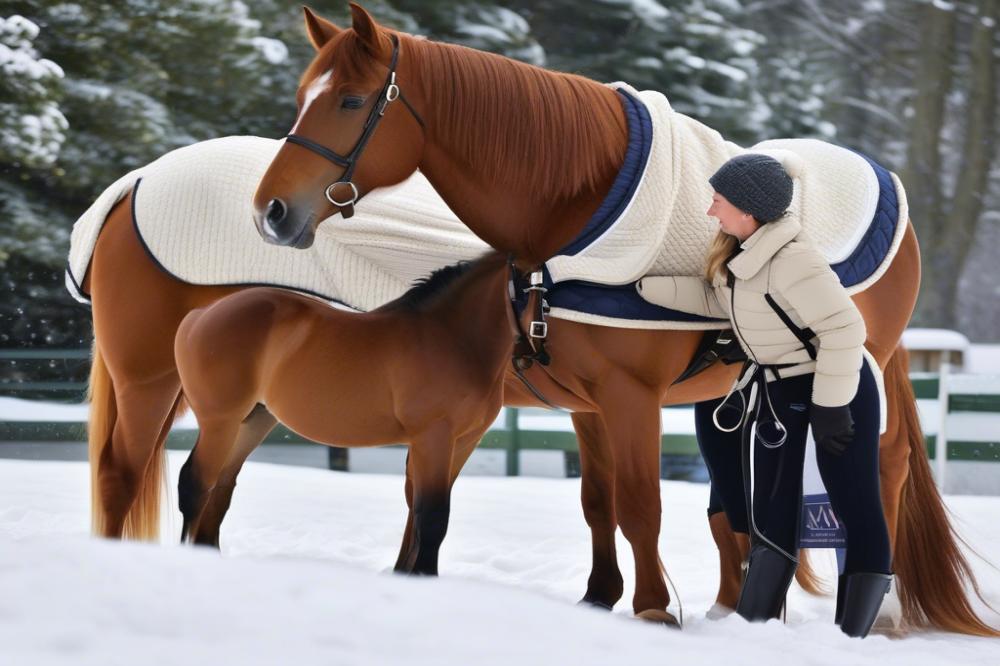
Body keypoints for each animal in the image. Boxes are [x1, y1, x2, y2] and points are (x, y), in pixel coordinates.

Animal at [170, 254, 508, 572]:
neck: (450, 339)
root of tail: (200, 314)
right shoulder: (434, 439)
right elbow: (432, 515)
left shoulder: (462, 443)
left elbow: (421, 510)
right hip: (220, 423)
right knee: (195, 483)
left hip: (252, 422)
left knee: (221, 488)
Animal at [246, 5, 996, 636]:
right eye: (302, 97)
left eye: (350, 101)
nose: (272, 212)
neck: (574, 213)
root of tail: (883, 181)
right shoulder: (587, 405)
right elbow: (599, 503)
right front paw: (600, 596)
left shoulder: (630, 398)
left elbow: (640, 504)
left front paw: (655, 609)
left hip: (859, 368)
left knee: (883, 469)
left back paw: (883, 613)